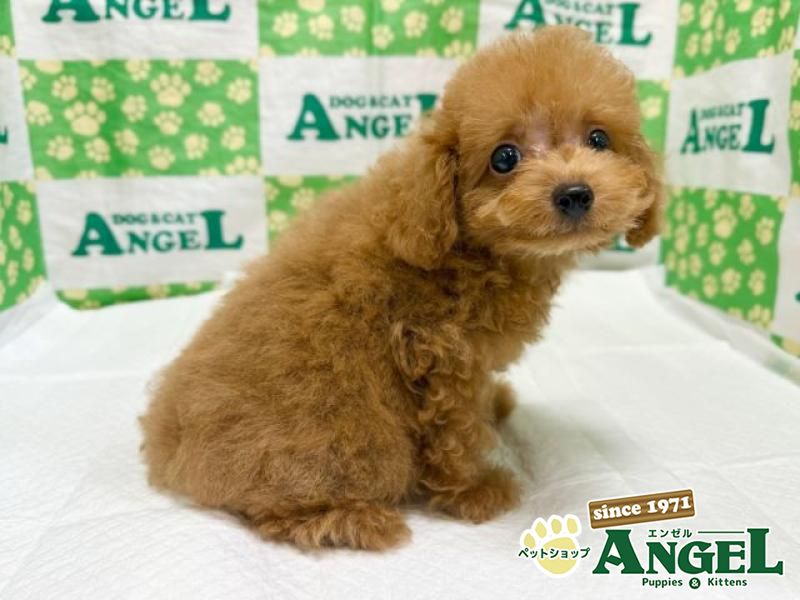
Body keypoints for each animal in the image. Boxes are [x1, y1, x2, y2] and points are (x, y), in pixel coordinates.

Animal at [140, 25, 663, 551]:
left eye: (598, 139)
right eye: (504, 158)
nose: (574, 193)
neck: (471, 247)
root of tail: (172, 448)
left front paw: (492, 405)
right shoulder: (440, 359)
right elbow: (455, 437)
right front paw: (475, 491)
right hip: (350, 439)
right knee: (276, 510)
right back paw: (359, 520)